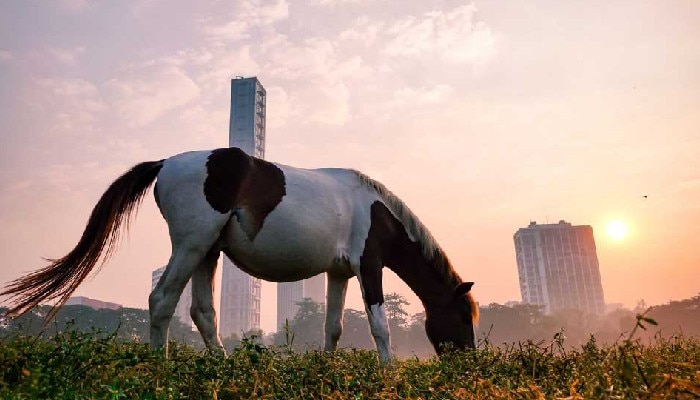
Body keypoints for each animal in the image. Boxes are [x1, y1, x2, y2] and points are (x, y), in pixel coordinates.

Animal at [0, 148, 478, 362]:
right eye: (462, 316)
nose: (467, 364)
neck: (376, 210)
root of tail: (165, 162)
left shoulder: (340, 273)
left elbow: (334, 327)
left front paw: (327, 367)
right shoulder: (369, 266)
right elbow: (379, 325)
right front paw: (386, 370)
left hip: (207, 253)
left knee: (202, 312)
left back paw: (221, 365)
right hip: (191, 246)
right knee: (162, 300)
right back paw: (160, 365)